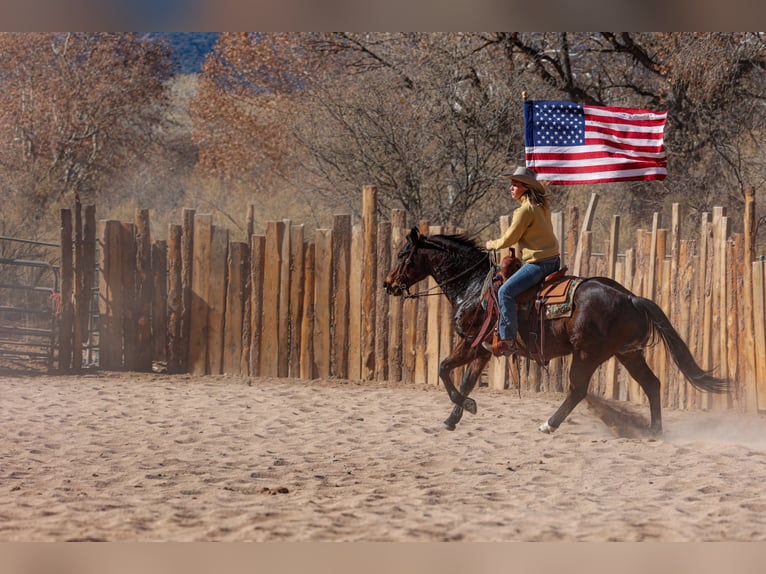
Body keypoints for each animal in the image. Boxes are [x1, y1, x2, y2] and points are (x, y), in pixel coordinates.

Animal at [384, 230, 732, 436]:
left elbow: (444, 369)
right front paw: (453, 418)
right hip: (628, 354)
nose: (388, 284)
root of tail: (630, 296)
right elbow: (467, 380)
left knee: (578, 390)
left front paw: (465, 407)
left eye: (402, 254)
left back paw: (549, 424)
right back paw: (654, 430)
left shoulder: (471, 343)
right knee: (652, 384)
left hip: (587, 354)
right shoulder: (482, 349)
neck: (473, 286)